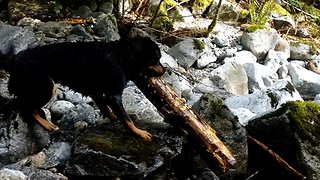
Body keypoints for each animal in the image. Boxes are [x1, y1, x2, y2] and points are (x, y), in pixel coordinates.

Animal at [0, 36, 165, 141]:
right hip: (46, 86)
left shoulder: (96, 91)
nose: (164, 70)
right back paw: (48, 125)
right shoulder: (113, 95)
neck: (124, 55)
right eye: (157, 59)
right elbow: (127, 119)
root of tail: (14, 61)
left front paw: (112, 117)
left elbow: (105, 107)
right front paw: (139, 133)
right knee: (27, 109)